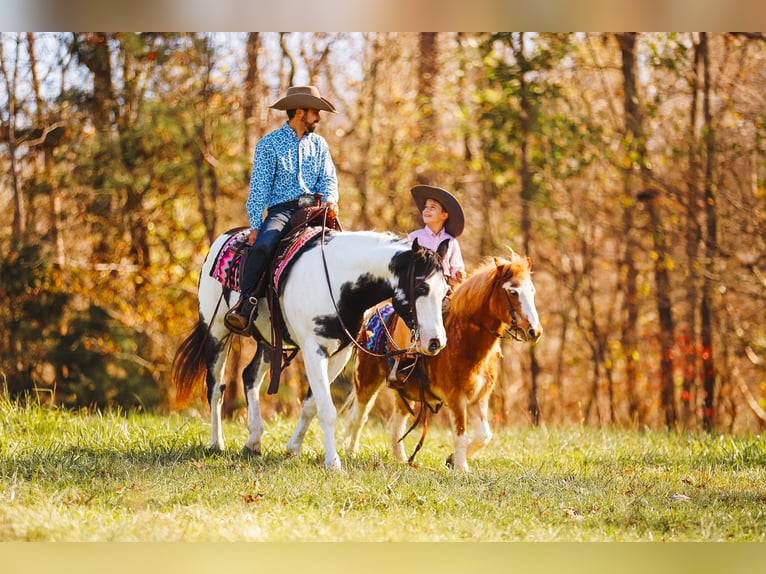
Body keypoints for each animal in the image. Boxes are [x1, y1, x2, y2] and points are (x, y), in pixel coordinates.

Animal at [172, 227, 450, 470]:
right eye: (422, 287)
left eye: (446, 291)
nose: (436, 342)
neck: (339, 284)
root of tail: (225, 238)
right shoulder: (313, 350)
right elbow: (326, 409)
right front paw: (333, 462)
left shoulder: (339, 354)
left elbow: (311, 405)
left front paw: (293, 448)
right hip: (217, 332)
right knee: (216, 388)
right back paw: (216, 443)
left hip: (268, 342)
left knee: (249, 377)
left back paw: (254, 440)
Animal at [344, 254, 544, 474]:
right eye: (513, 291)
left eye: (532, 290)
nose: (535, 331)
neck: (465, 340)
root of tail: (374, 315)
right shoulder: (457, 398)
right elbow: (461, 434)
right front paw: (461, 469)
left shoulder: (479, 399)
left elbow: (484, 436)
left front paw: (451, 460)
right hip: (366, 380)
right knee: (358, 417)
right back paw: (351, 453)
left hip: (404, 392)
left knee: (396, 424)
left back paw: (400, 459)